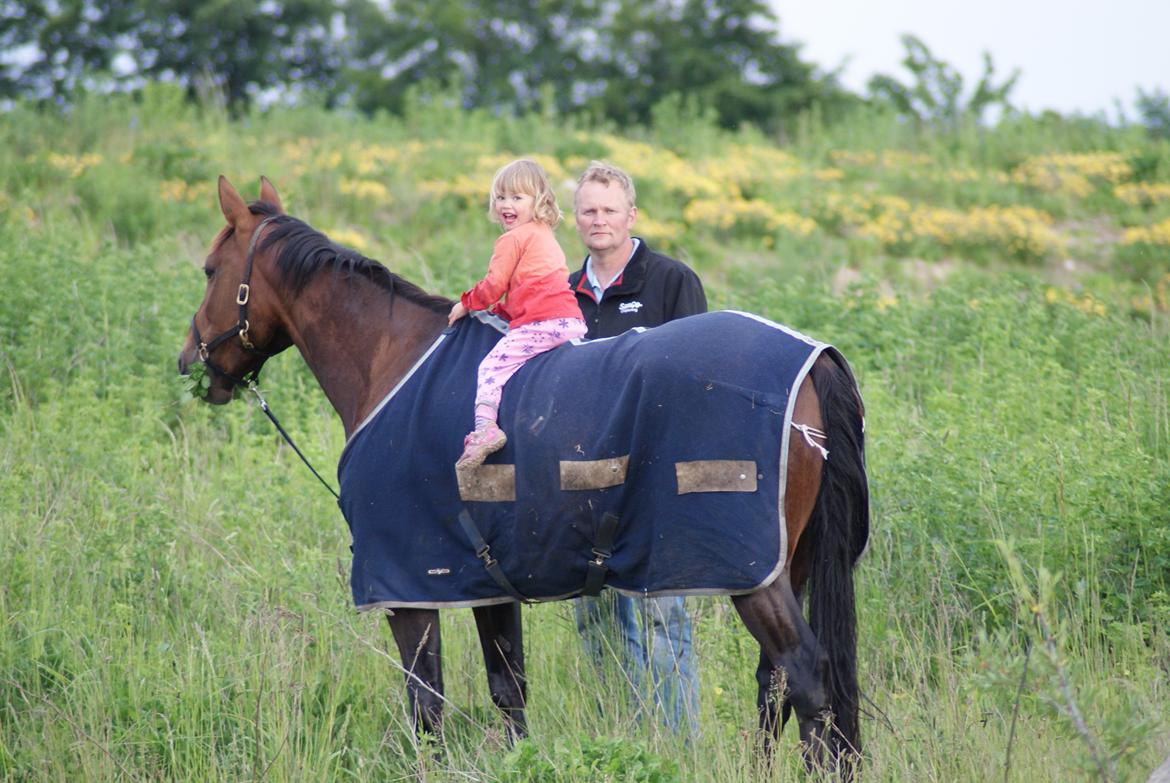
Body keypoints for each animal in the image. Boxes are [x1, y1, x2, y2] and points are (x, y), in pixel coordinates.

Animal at [175, 175, 870, 767]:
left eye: (210, 269)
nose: (190, 361)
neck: (392, 358)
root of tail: (813, 363)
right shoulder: (488, 581)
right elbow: (507, 690)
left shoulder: (409, 589)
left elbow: (426, 705)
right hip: (787, 565)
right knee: (775, 684)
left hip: (756, 577)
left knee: (805, 676)